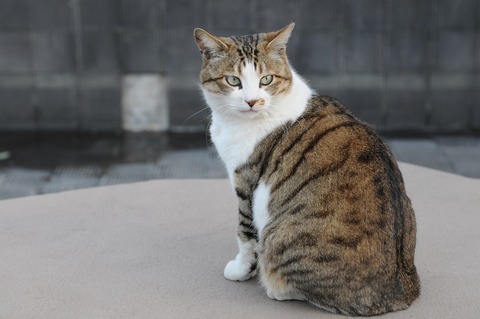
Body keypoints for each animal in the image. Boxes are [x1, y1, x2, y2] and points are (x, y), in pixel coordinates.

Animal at [195, 23, 420, 318]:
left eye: (266, 79)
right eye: (233, 81)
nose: (252, 101)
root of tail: (399, 295)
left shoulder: (246, 182)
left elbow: (245, 234)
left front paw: (241, 270)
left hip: (281, 237)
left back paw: (275, 288)